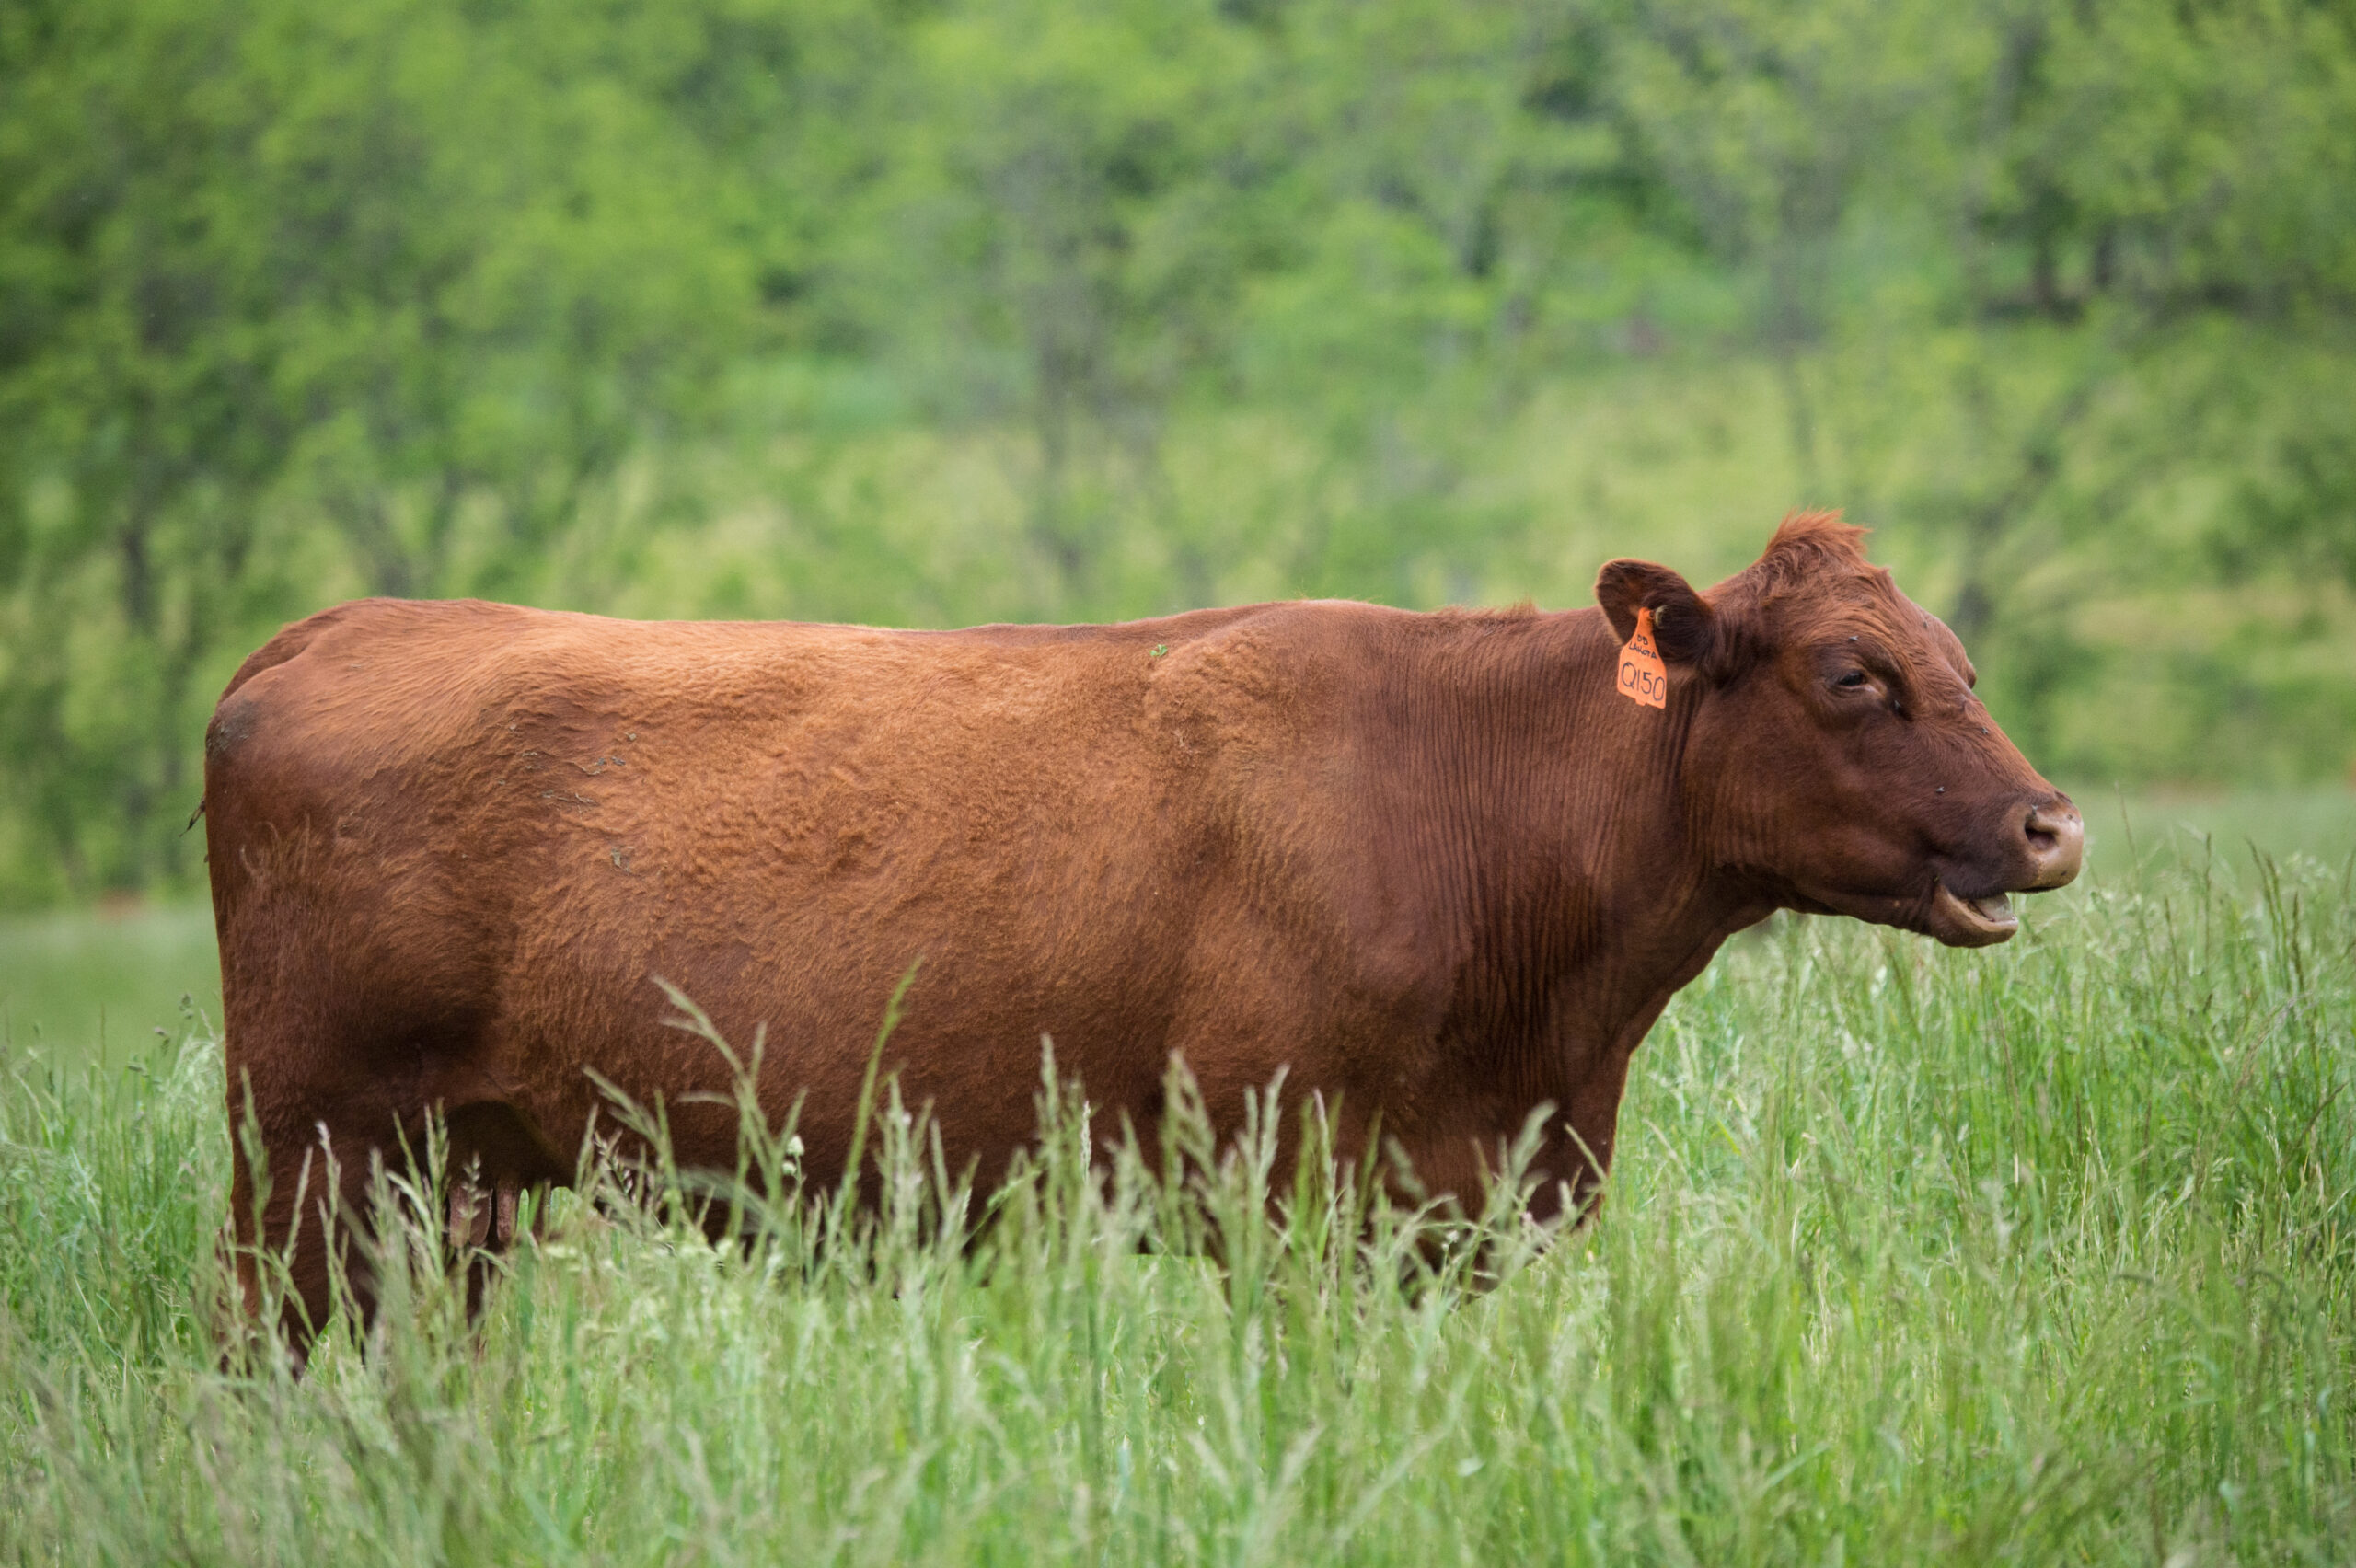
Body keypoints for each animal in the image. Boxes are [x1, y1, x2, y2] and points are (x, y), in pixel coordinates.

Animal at [203, 513, 2081, 1346]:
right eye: (1856, 675)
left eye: (1963, 659)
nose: (2050, 822)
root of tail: (333, 627)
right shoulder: (1294, 1196)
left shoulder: (1484, 1207)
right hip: (311, 1156)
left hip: (452, 1184)